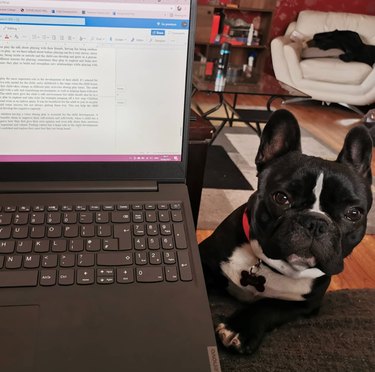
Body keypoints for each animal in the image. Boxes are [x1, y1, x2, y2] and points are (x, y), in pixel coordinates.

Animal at [200, 108, 374, 354]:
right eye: (281, 198)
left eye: (353, 214)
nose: (315, 223)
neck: (271, 268)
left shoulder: (307, 304)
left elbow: (269, 305)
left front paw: (239, 328)